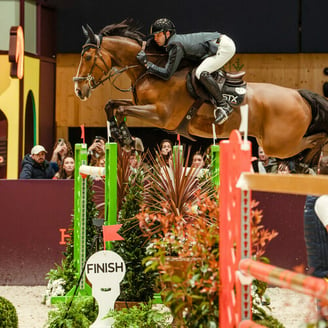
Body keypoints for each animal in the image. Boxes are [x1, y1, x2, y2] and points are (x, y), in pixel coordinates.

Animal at [73, 19, 328, 165]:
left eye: (88, 57)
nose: (78, 90)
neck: (150, 71)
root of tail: (299, 95)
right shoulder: (143, 106)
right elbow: (113, 105)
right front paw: (122, 135)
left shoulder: (161, 116)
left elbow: (120, 108)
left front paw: (126, 138)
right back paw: (307, 164)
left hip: (279, 145)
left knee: (318, 138)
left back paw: (308, 163)